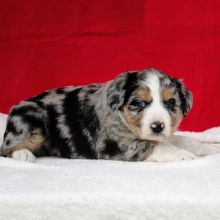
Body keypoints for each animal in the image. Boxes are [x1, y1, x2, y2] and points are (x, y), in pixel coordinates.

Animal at [1, 68, 220, 162]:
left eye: (170, 103)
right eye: (138, 104)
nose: (157, 126)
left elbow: (181, 140)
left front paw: (208, 149)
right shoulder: (114, 143)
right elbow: (155, 146)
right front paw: (182, 155)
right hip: (31, 119)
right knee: (6, 149)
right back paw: (23, 154)